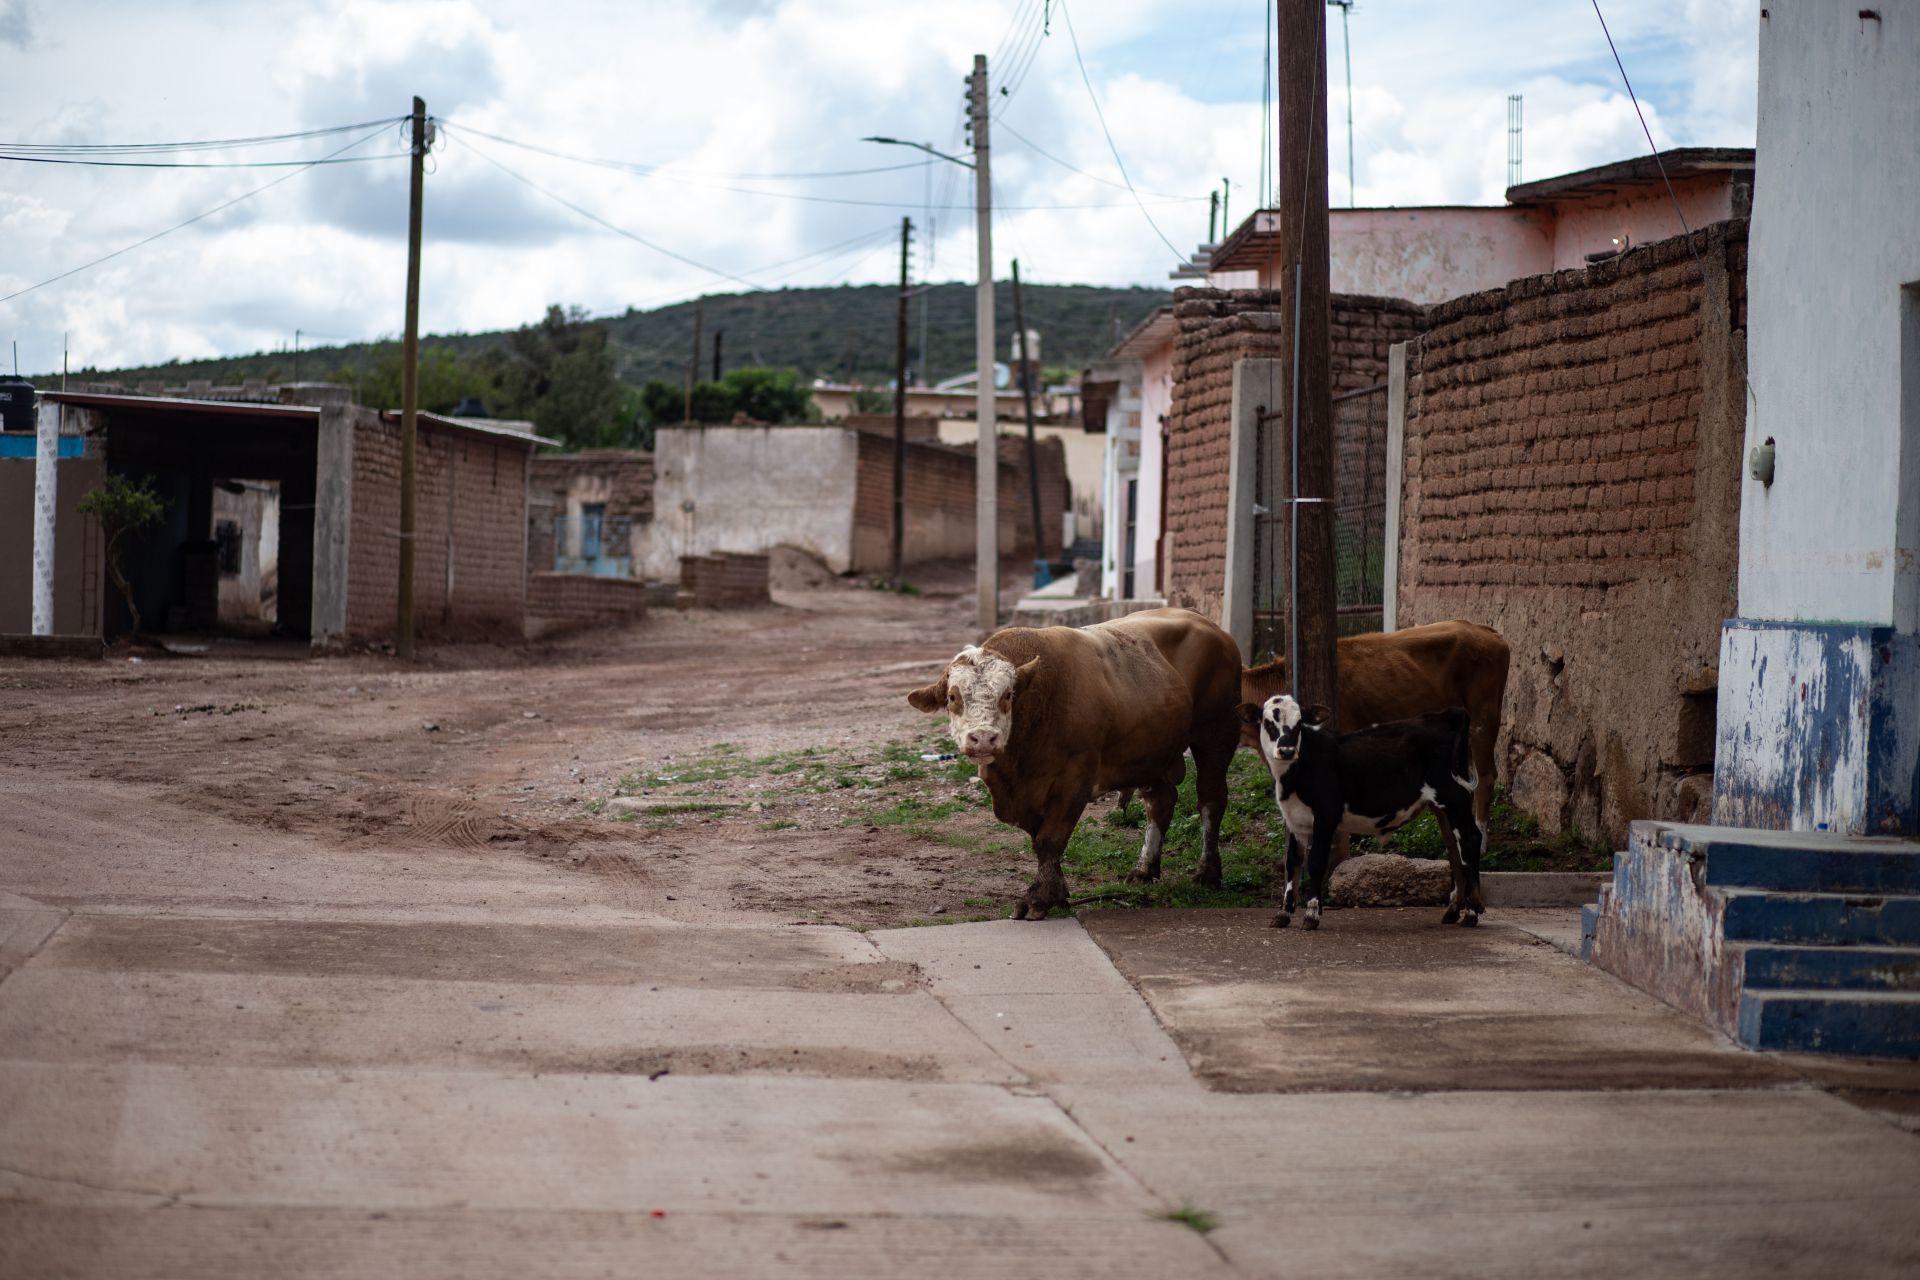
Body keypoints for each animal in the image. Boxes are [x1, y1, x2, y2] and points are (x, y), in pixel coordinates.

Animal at [910, 610, 1244, 921]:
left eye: (1008, 695)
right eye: (953, 697)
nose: (983, 738)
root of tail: (1207, 623)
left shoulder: (1074, 781)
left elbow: (1049, 840)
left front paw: (1039, 898)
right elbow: (1040, 839)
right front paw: (1057, 891)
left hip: (1219, 732)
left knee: (1211, 800)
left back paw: (1207, 872)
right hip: (1153, 751)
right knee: (1160, 803)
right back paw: (1145, 868)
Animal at [1236, 702, 1489, 932]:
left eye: (1299, 724)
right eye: (1268, 722)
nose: (1287, 750)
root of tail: (1447, 713)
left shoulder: (1326, 815)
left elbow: (1316, 862)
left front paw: (1311, 914)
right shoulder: (1294, 820)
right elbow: (1293, 864)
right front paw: (1283, 914)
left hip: (1453, 797)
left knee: (1469, 841)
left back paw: (1471, 912)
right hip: (1442, 806)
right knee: (1454, 849)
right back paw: (1453, 911)